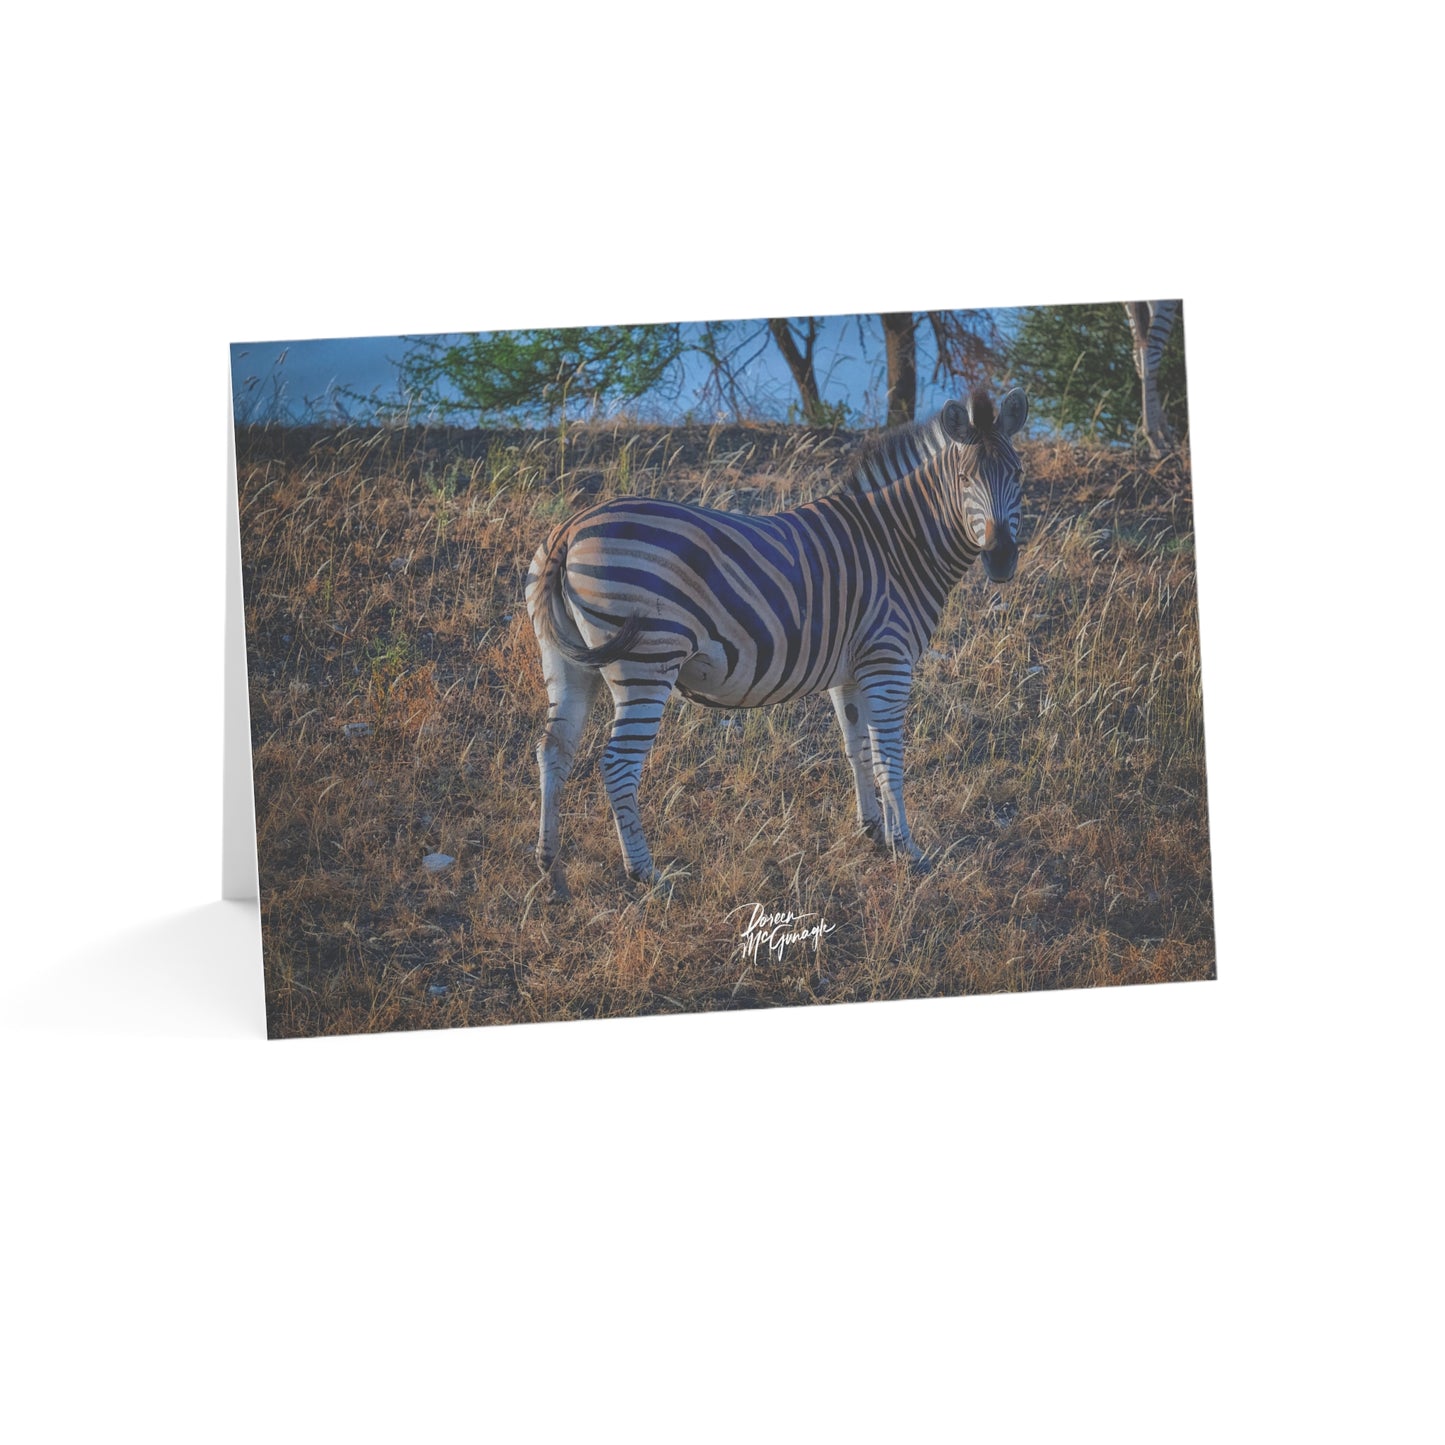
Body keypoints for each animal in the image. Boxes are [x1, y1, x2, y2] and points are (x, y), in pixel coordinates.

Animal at [524, 387, 1029, 888]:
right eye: (965, 479)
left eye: (1018, 475)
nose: (1002, 558)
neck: (898, 545)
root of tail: (570, 530)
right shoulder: (888, 661)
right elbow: (889, 758)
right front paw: (907, 849)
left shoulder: (851, 671)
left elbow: (858, 749)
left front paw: (873, 832)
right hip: (646, 662)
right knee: (617, 766)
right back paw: (646, 873)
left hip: (566, 662)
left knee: (553, 751)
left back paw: (550, 867)